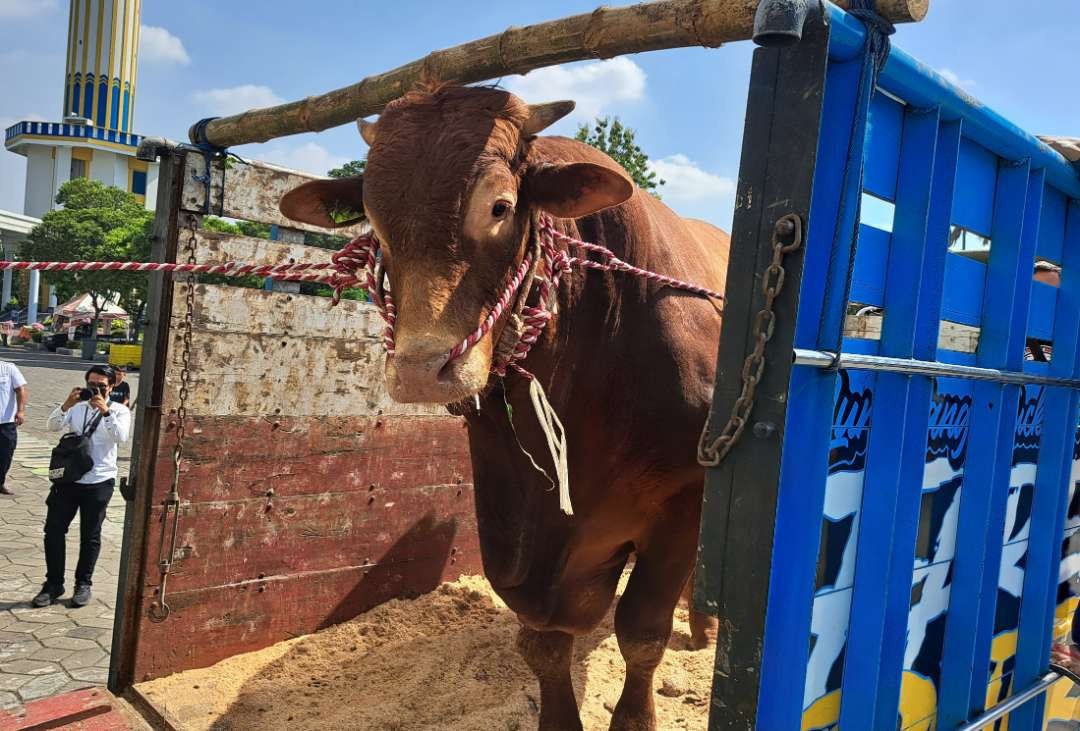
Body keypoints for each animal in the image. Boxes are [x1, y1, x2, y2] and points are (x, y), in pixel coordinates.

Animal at [282, 86, 730, 729]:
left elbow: (643, 633)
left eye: (499, 207)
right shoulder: (509, 517)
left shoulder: (683, 500)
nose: (421, 369)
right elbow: (542, 642)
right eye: (374, 218)